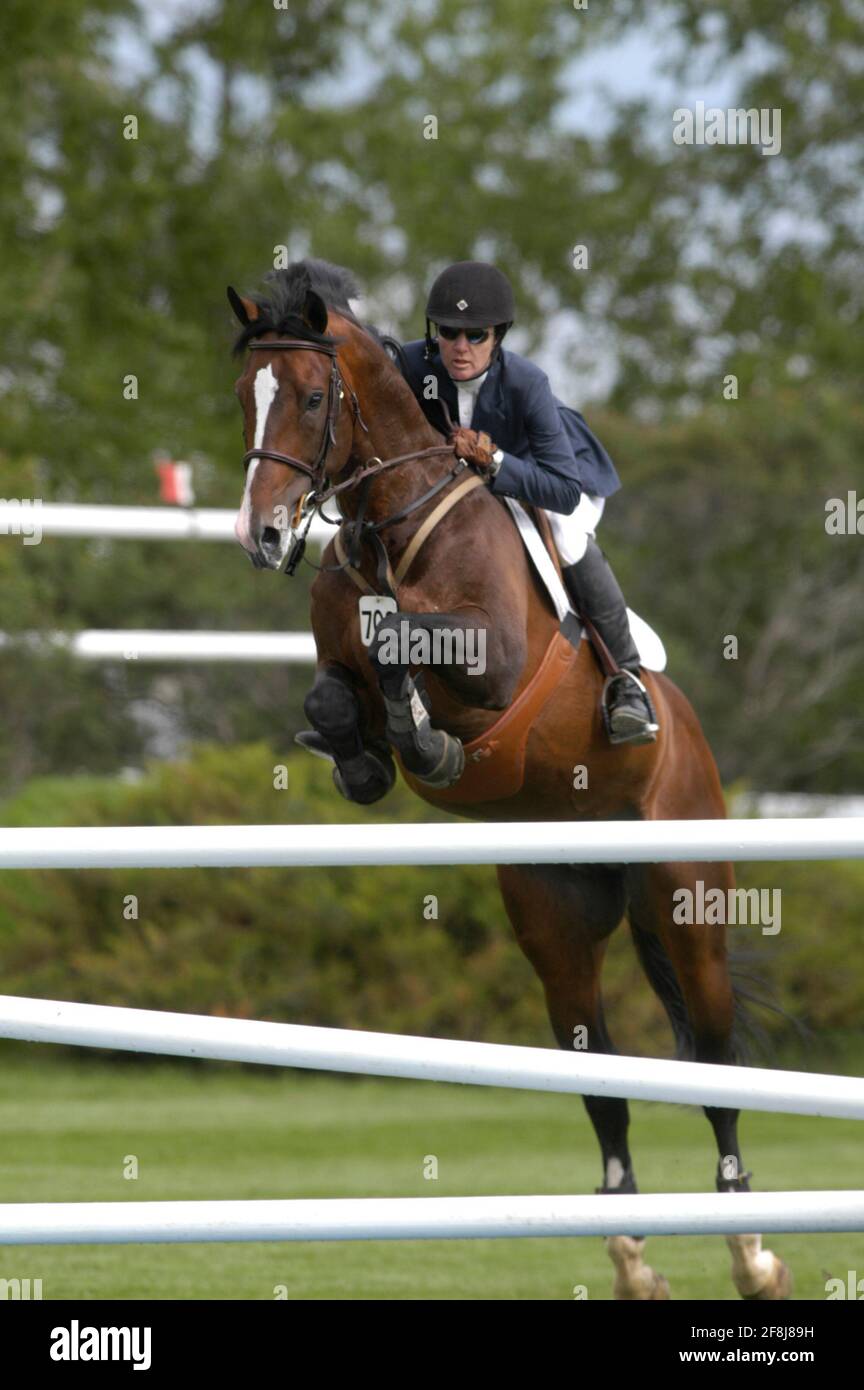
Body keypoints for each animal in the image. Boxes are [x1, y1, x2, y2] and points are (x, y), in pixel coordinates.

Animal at [229, 261, 794, 1301]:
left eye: (316, 399)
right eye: (244, 395)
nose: (263, 536)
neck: (393, 520)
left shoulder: (489, 656)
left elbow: (399, 637)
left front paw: (426, 741)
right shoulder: (339, 652)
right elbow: (342, 685)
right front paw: (374, 756)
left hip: (688, 898)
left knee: (715, 1062)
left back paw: (752, 1250)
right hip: (555, 918)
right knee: (602, 1080)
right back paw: (631, 1256)